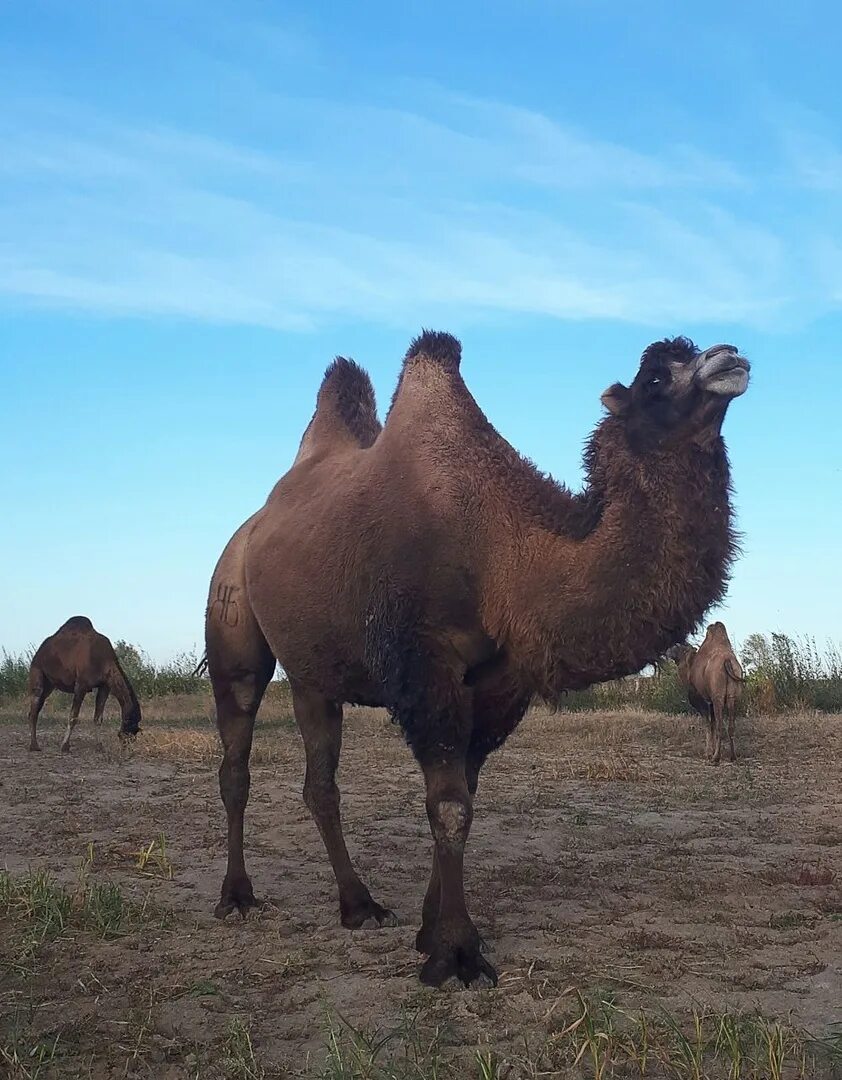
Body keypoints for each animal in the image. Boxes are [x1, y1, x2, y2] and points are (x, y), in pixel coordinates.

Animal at [27, 617, 142, 751]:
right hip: (37, 670)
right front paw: (65, 746)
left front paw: (99, 746)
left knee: (36, 708)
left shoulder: (104, 686)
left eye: (134, 735)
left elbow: (98, 718)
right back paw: (34, 745)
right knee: (34, 705)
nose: (125, 747)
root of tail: (41, 649)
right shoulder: (81, 685)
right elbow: (73, 716)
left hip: (50, 684)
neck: (103, 660)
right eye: (128, 730)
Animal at [673, 622, 747, 764]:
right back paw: (732, 757)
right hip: (732, 695)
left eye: (679, 648)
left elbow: (708, 724)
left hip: (718, 696)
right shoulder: (711, 702)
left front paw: (708, 753)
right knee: (730, 726)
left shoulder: (702, 700)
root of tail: (728, 661)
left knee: (719, 726)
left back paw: (716, 758)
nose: (667, 650)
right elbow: (711, 724)